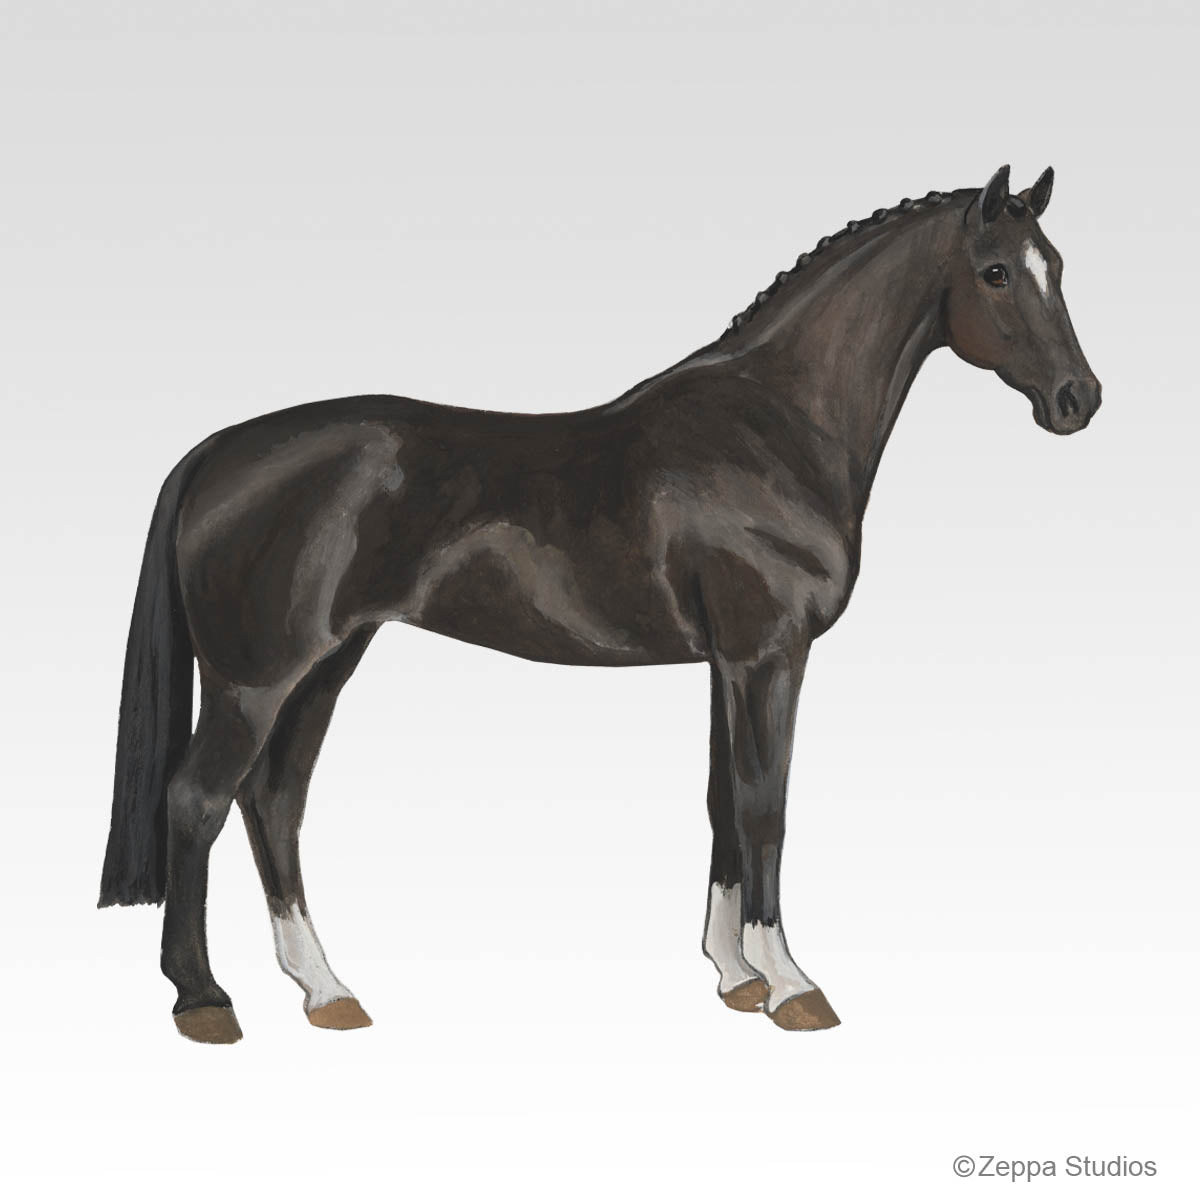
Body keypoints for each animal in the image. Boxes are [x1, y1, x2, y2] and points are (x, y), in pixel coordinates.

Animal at [100, 164, 1100, 1043]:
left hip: (325, 667)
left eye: (1055, 263)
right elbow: (765, 807)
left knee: (273, 802)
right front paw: (791, 985)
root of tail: (218, 450)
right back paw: (204, 1002)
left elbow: (722, 804)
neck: (773, 429)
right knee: (197, 801)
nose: (1078, 400)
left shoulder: (725, 664)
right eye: (996, 271)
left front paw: (734, 976)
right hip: (257, 680)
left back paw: (326, 990)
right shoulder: (769, 655)